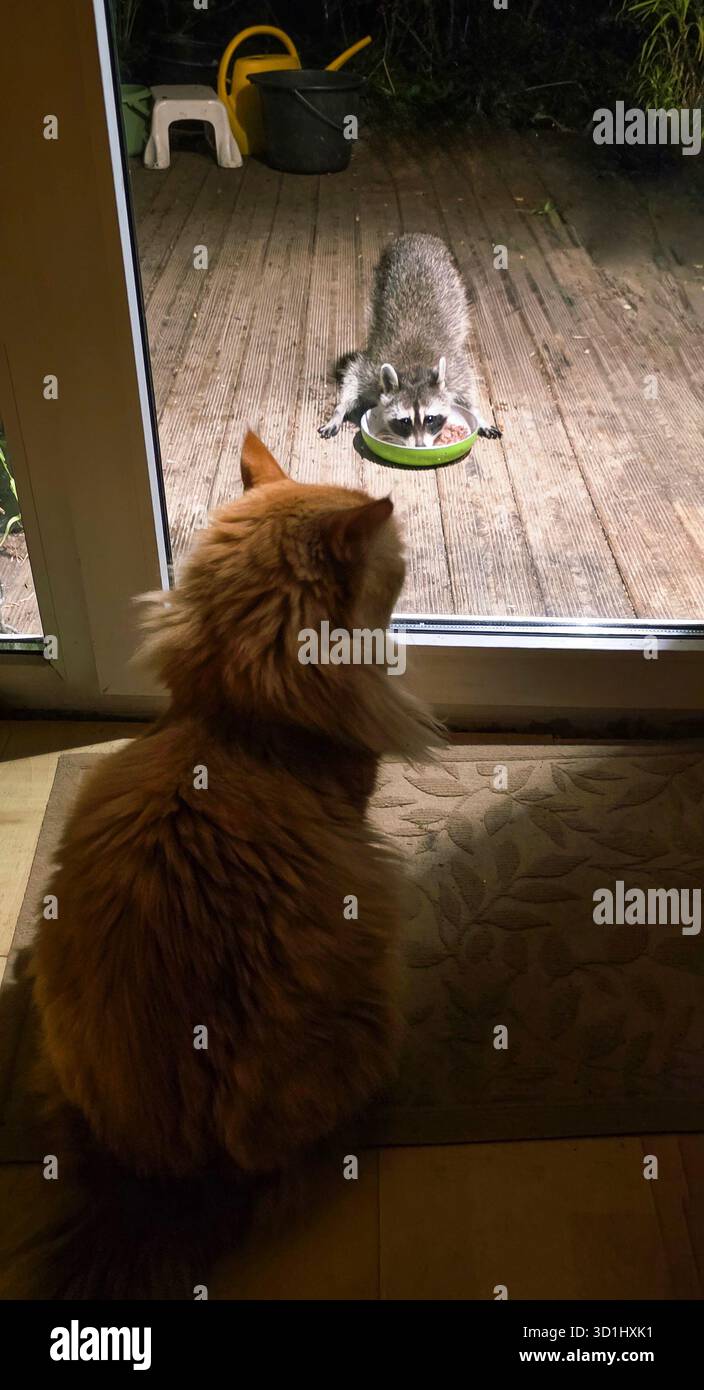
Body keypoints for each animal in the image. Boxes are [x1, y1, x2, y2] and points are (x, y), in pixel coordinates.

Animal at [319, 233, 501, 446]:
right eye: (404, 421)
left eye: (430, 418)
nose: (420, 446)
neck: (414, 370)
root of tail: (418, 236)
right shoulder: (372, 369)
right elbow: (353, 377)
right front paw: (339, 411)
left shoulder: (455, 370)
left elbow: (467, 387)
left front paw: (478, 414)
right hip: (378, 285)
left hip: (457, 291)